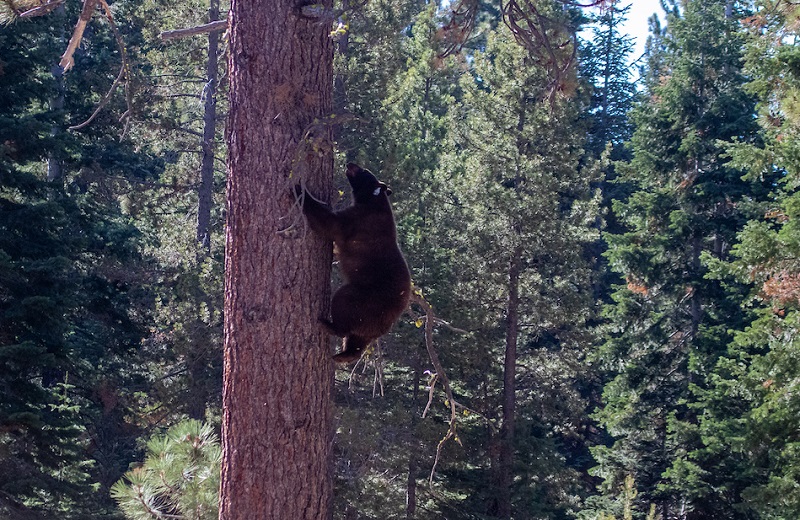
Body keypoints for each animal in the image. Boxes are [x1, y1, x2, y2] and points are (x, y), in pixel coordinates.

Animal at [294, 162, 412, 362]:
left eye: (363, 170)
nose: (350, 163)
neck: (373, 201)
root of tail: (389, 320)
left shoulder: (357, 221)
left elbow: (330, 223)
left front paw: (299, 190)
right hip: (369, 324)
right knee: (357, 343)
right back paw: (342, 355)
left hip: (366, 300)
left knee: (344, 303)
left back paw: (328, 324)